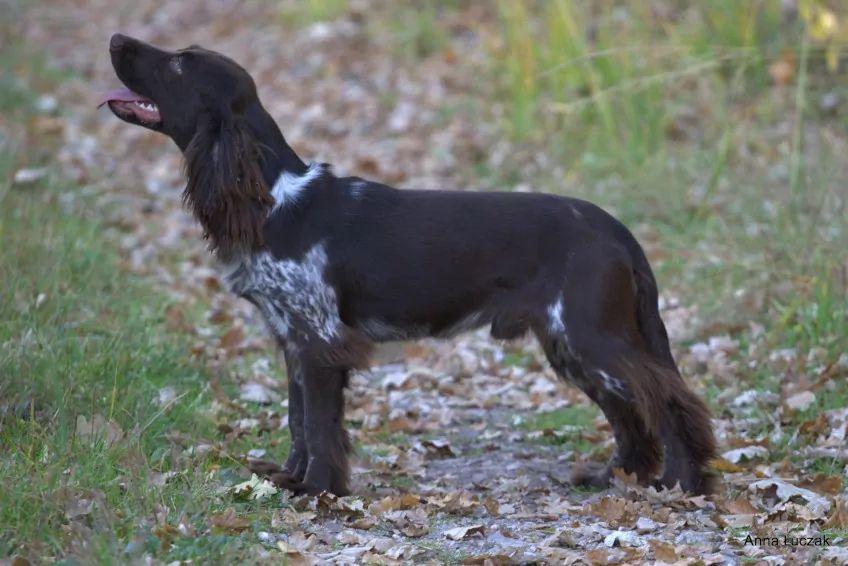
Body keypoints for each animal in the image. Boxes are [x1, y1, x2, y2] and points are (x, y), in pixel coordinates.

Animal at [102, 34, 720, 496]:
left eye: (179, 63)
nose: (116, 38)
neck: (273, 199)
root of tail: (615, 229)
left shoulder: (321, 342)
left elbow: (320, 425)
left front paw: (318, 490)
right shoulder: (292, 338)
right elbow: (298, 420)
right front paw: (290, 479)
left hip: (592, 337)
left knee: (669, 400)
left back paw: (683, 482)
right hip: (571, 346)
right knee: (631, 411)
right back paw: (617, 476)